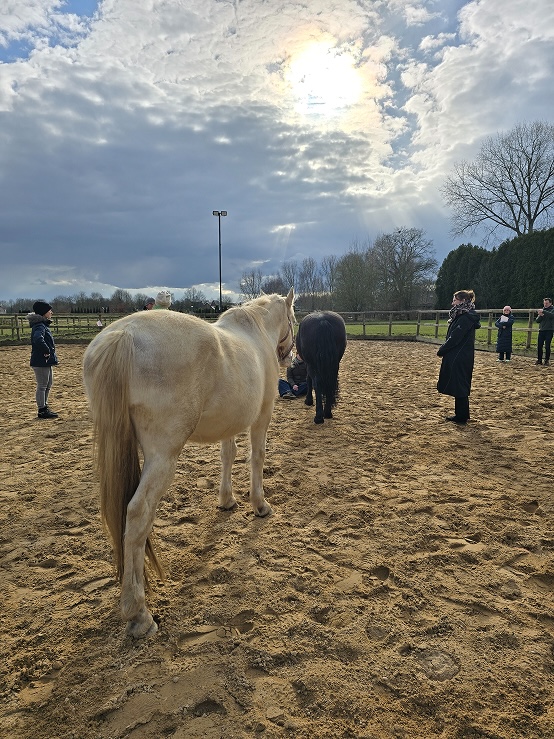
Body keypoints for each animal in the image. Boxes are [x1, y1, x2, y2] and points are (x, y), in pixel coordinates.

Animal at [82, 289, 295, 638]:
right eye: (293, 318)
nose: (290, 358)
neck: (256, 332)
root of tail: (123, 335)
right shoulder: (262, 416)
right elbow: (257, 457)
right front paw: (260, 505)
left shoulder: (229, 423)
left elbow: (228, 455)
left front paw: (227, 501)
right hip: (163, 457)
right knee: (137, 513)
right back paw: (139, 614)